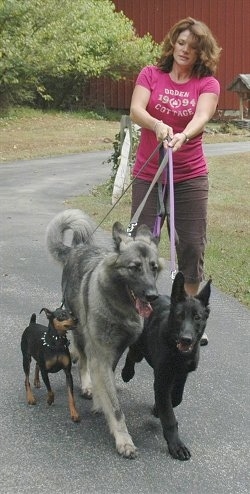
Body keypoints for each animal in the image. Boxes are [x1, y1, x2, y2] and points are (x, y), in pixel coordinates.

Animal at [45, 209, 163, 460]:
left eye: (153, 267)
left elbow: (107, 386)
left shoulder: (115, 354)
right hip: (80, 331)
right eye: (135, 267)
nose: (152, 296)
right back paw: (86, 384)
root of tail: (76, 249)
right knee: (82, 360)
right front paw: (124, 439)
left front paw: (101, 402)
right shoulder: (102, 354)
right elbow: (116, 408)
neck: (119, 307)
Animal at [121, 272, 211, 462]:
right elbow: (169, 416)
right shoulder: (162, 380)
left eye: (197, 318)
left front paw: (157, 408)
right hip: (140, 348)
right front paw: (176, 445)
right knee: (132, 354)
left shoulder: (182, 374)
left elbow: (176, 398)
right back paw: (127, 372)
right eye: (179, 316)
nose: (186, 339)